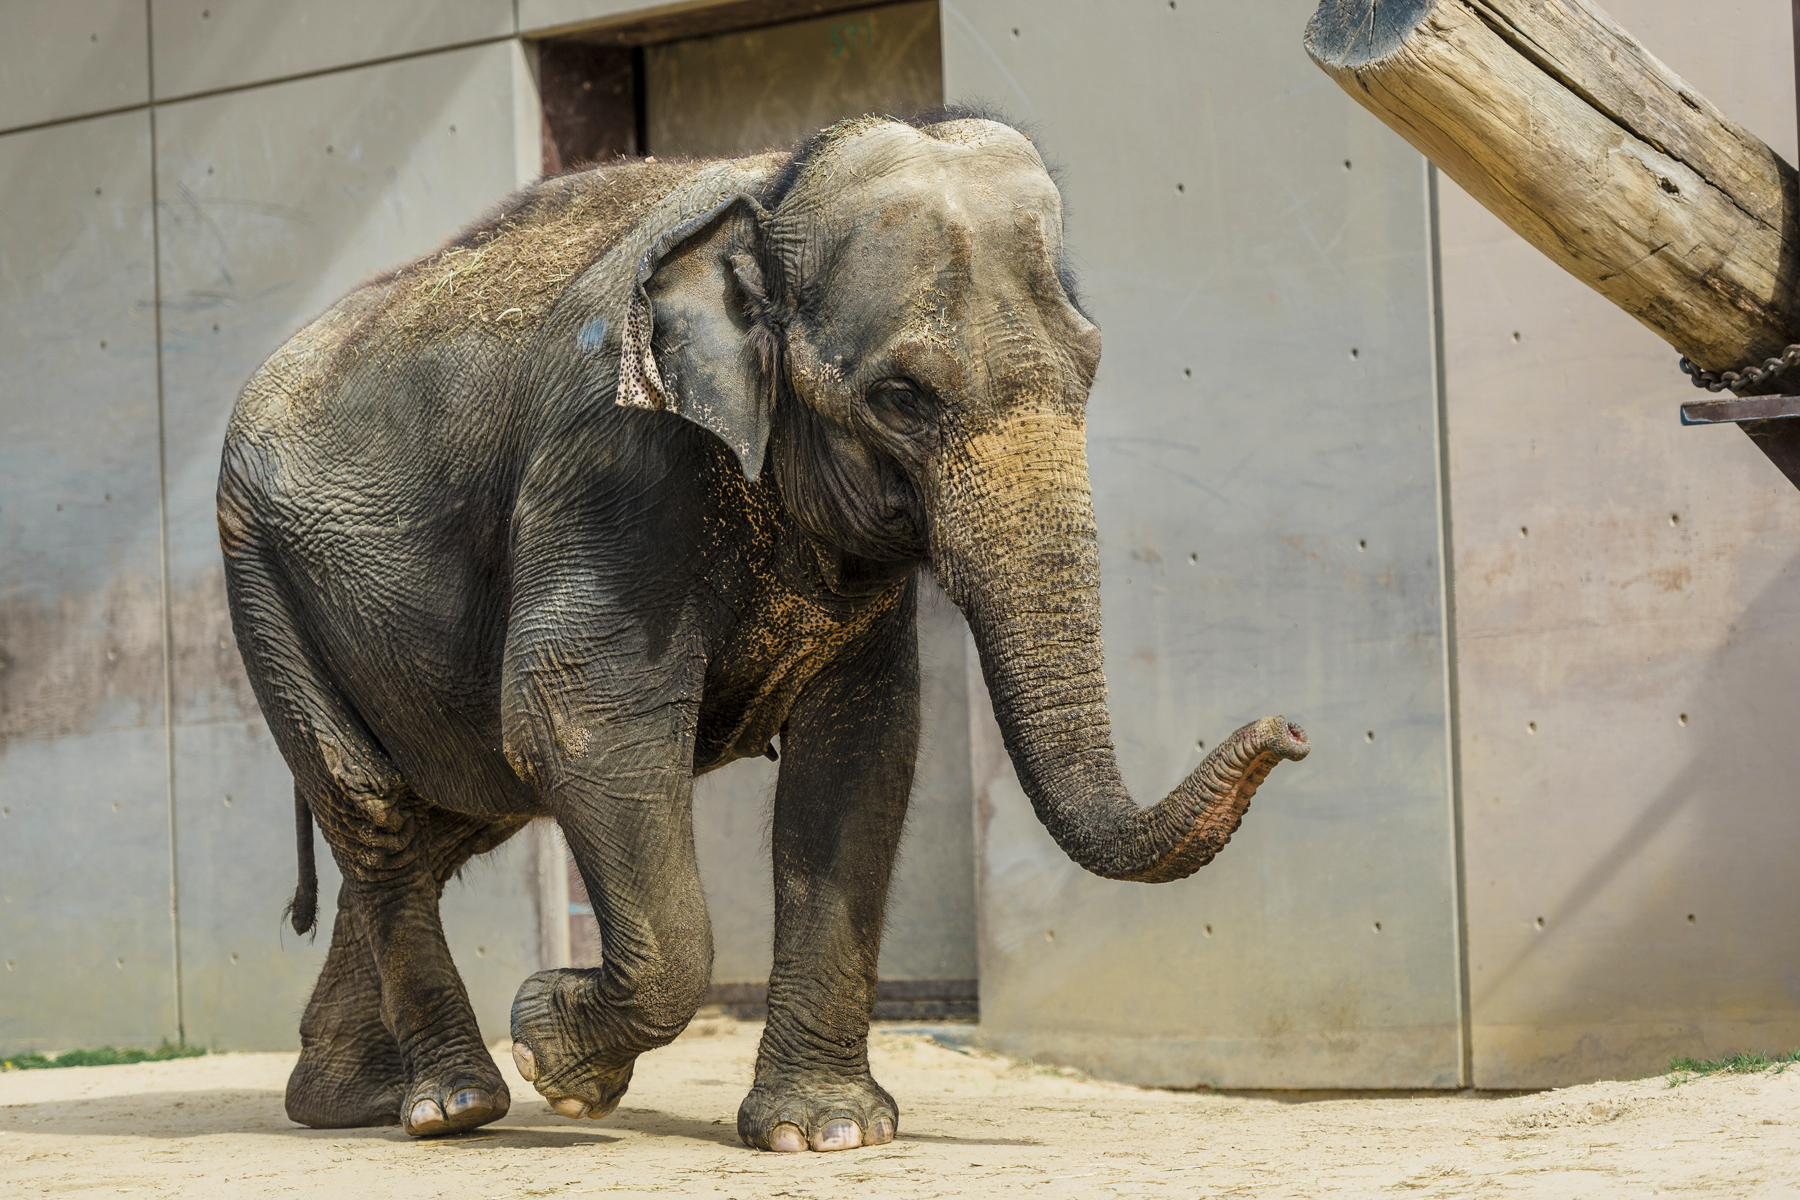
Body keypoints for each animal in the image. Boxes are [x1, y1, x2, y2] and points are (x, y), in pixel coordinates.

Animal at [217, 110, 1310, 1151]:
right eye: (902, 397)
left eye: (1091, 365)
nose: (1292, 731)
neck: (775, 187)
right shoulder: (614, 457)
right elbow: (577, 714)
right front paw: (558, 1055)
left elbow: (862, 750)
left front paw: (825, 1132)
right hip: (257, 574)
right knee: (376, 803)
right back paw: (455, 1105)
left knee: (447, 810)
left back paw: (350, 1101)